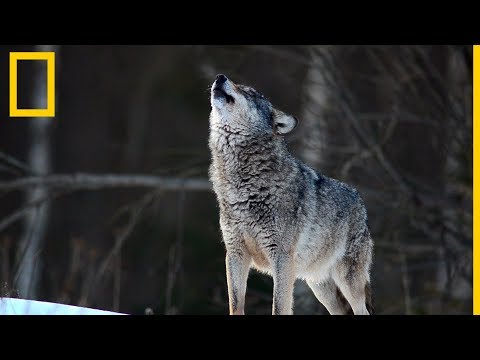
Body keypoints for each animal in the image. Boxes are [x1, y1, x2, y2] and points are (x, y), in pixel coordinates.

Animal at [208, 74, 374, 316]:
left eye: (250, 92)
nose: (220, 77)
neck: (243, 186)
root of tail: (360, 202)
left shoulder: (282, 258)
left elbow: (279, 306)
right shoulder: (235, 254)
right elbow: (235, 304)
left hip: (348, 280)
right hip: (320, 286)